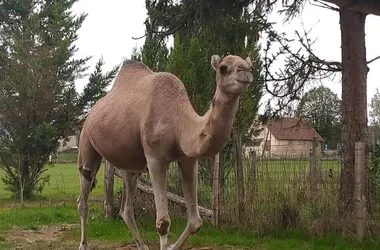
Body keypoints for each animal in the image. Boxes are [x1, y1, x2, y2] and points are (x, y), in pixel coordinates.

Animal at [76, 54, 255, 250]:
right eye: (223, 68)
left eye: (251, 66)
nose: (246, 71)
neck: (179, 123)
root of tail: (90, 114)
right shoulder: (155, 159)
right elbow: (163, 223)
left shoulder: (189, 160)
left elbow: (195, 222)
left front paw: (170, 246)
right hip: (87, 144)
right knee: (83, 198)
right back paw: (83, 245)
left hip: (130, 165)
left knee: (126, 209)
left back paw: (142, 246)